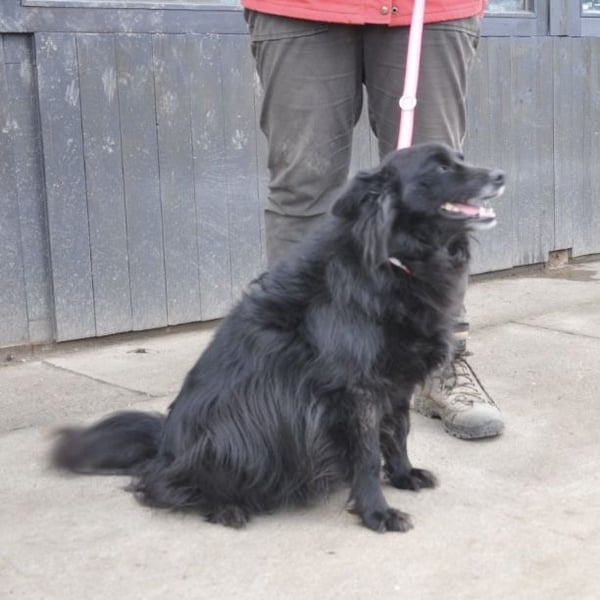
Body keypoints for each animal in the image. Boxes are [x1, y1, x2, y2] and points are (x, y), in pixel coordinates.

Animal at [52, 143, 505, 532]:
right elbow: (367, 452)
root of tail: (164, 443)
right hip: (233, 438)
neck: (395, 260)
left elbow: (398, 432)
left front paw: (404, 475)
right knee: (159, 485)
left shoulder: (395, 380)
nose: (500, 175)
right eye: (440, 168)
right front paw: (377, 512)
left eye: (460, 158)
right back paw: (225, 507)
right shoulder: (356, 389)